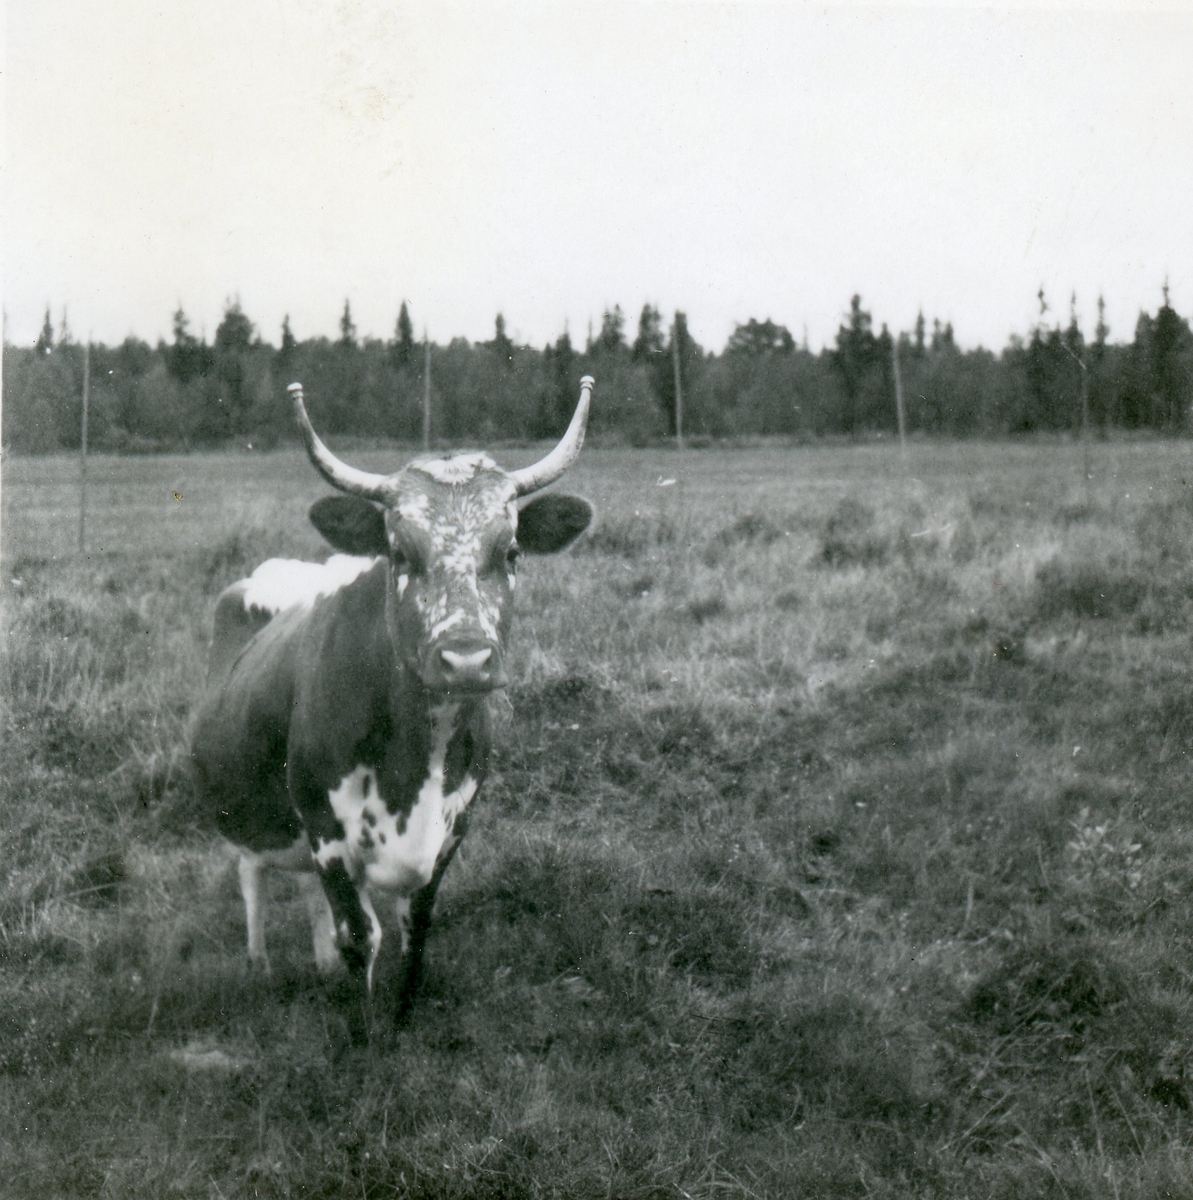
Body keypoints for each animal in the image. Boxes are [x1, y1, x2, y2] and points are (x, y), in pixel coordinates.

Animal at [192, 374, 595, 1032]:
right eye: (400, 553)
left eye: (510, 552)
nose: (466, 659)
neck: (416, 756)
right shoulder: (327, 829)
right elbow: (362, 936)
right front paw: (362, 1033)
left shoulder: (451, 831)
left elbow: (415, 930)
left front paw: (402, 1020)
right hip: (252, 810)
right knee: (252, 874)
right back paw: (259, 963)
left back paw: (318, 963)